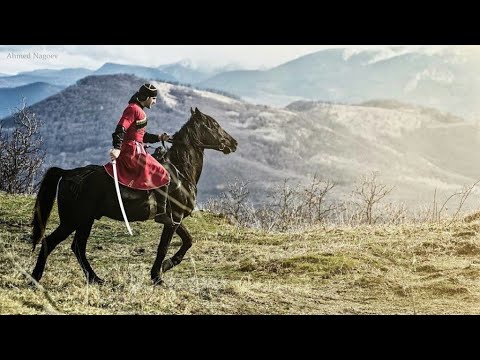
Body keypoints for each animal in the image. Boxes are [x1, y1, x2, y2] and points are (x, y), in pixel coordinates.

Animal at [31, 107, 237, 284]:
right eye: (213, 124)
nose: (234, 144)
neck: (180, 171)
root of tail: (67, 173)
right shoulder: (174, 219)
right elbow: (163, 247)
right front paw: (157, 276)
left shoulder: (176, 220)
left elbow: (188, 241)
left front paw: (165, 266)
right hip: (73, 220)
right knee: (51, 242)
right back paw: (35, 278)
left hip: (86, 220)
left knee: (78, 247)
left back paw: (95, 279)